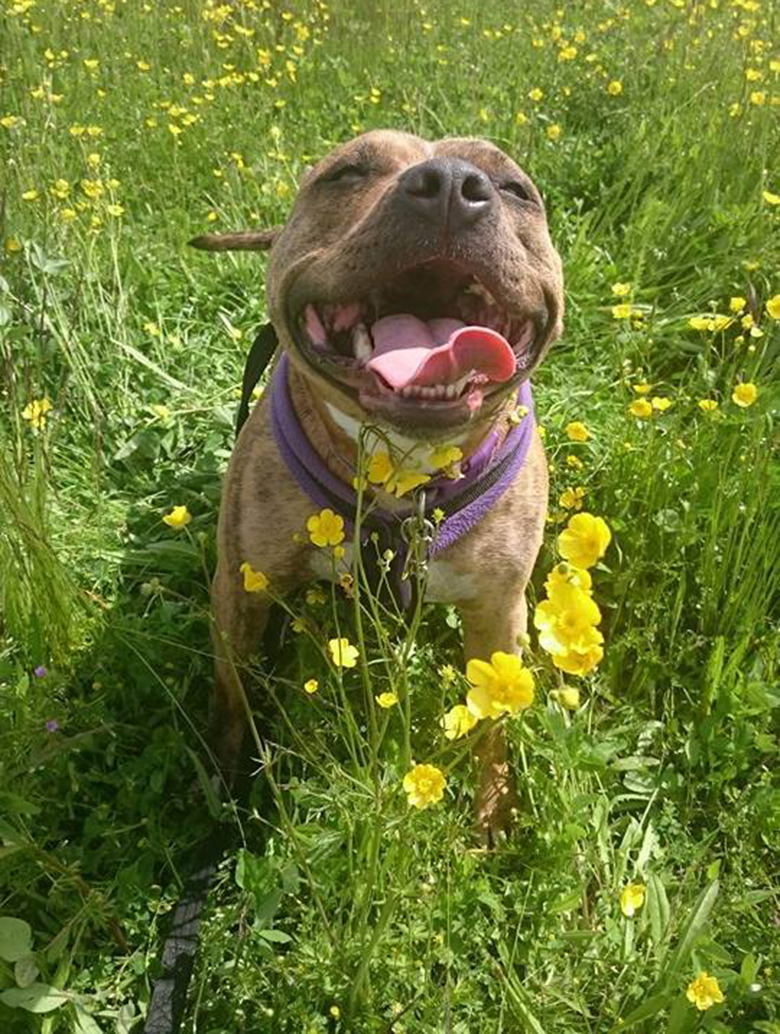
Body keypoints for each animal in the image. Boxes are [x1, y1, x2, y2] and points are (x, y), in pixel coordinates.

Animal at [191, 129, 562, 839]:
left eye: (515, 189)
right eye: (347, 173)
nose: (451, 185)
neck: (402, 473)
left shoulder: (497, 613)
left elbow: (494, 725)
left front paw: (494, 811)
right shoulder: (240, 589)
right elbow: (231, 692)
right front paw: (225, 781)